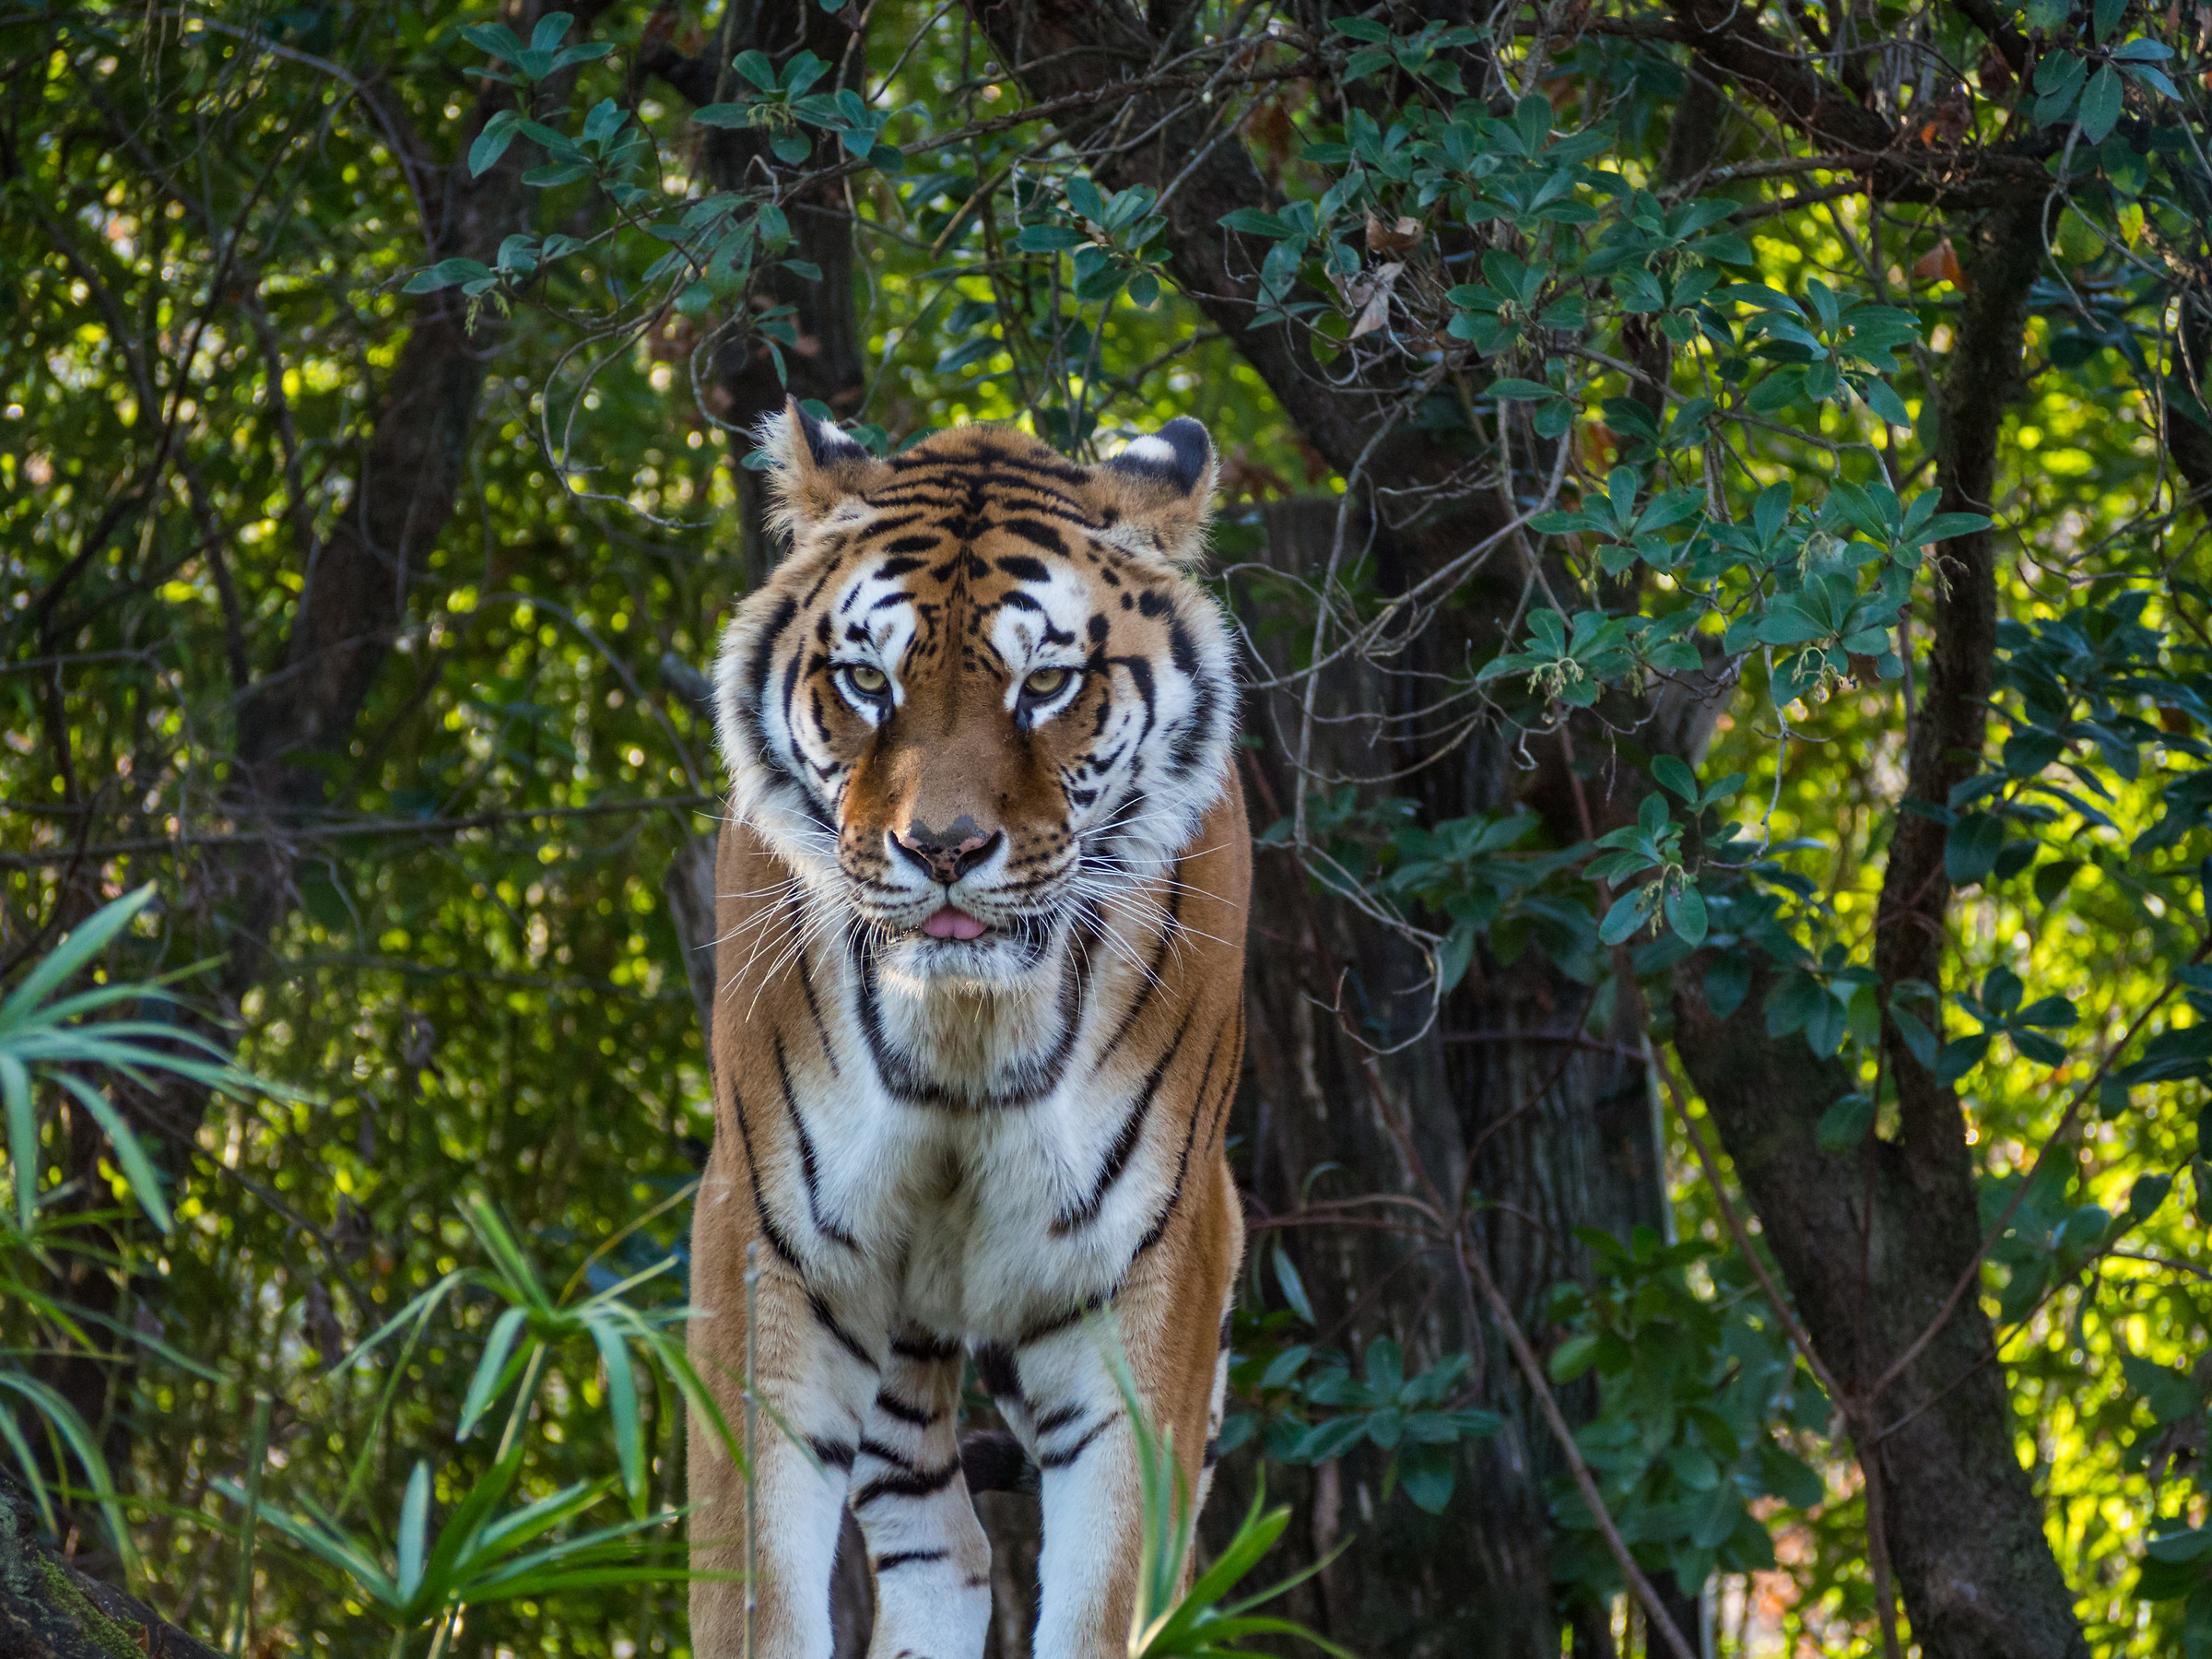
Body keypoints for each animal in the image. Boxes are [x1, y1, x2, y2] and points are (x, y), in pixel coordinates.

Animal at [688, 399, 1251, 1659]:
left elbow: (1107, 1591)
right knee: (937, 1540)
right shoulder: (770, 1241)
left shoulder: (1148, 1260)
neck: (964, 1029)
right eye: (866, 679)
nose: (942, 849)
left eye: (1045, 684)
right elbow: (753, 1588)